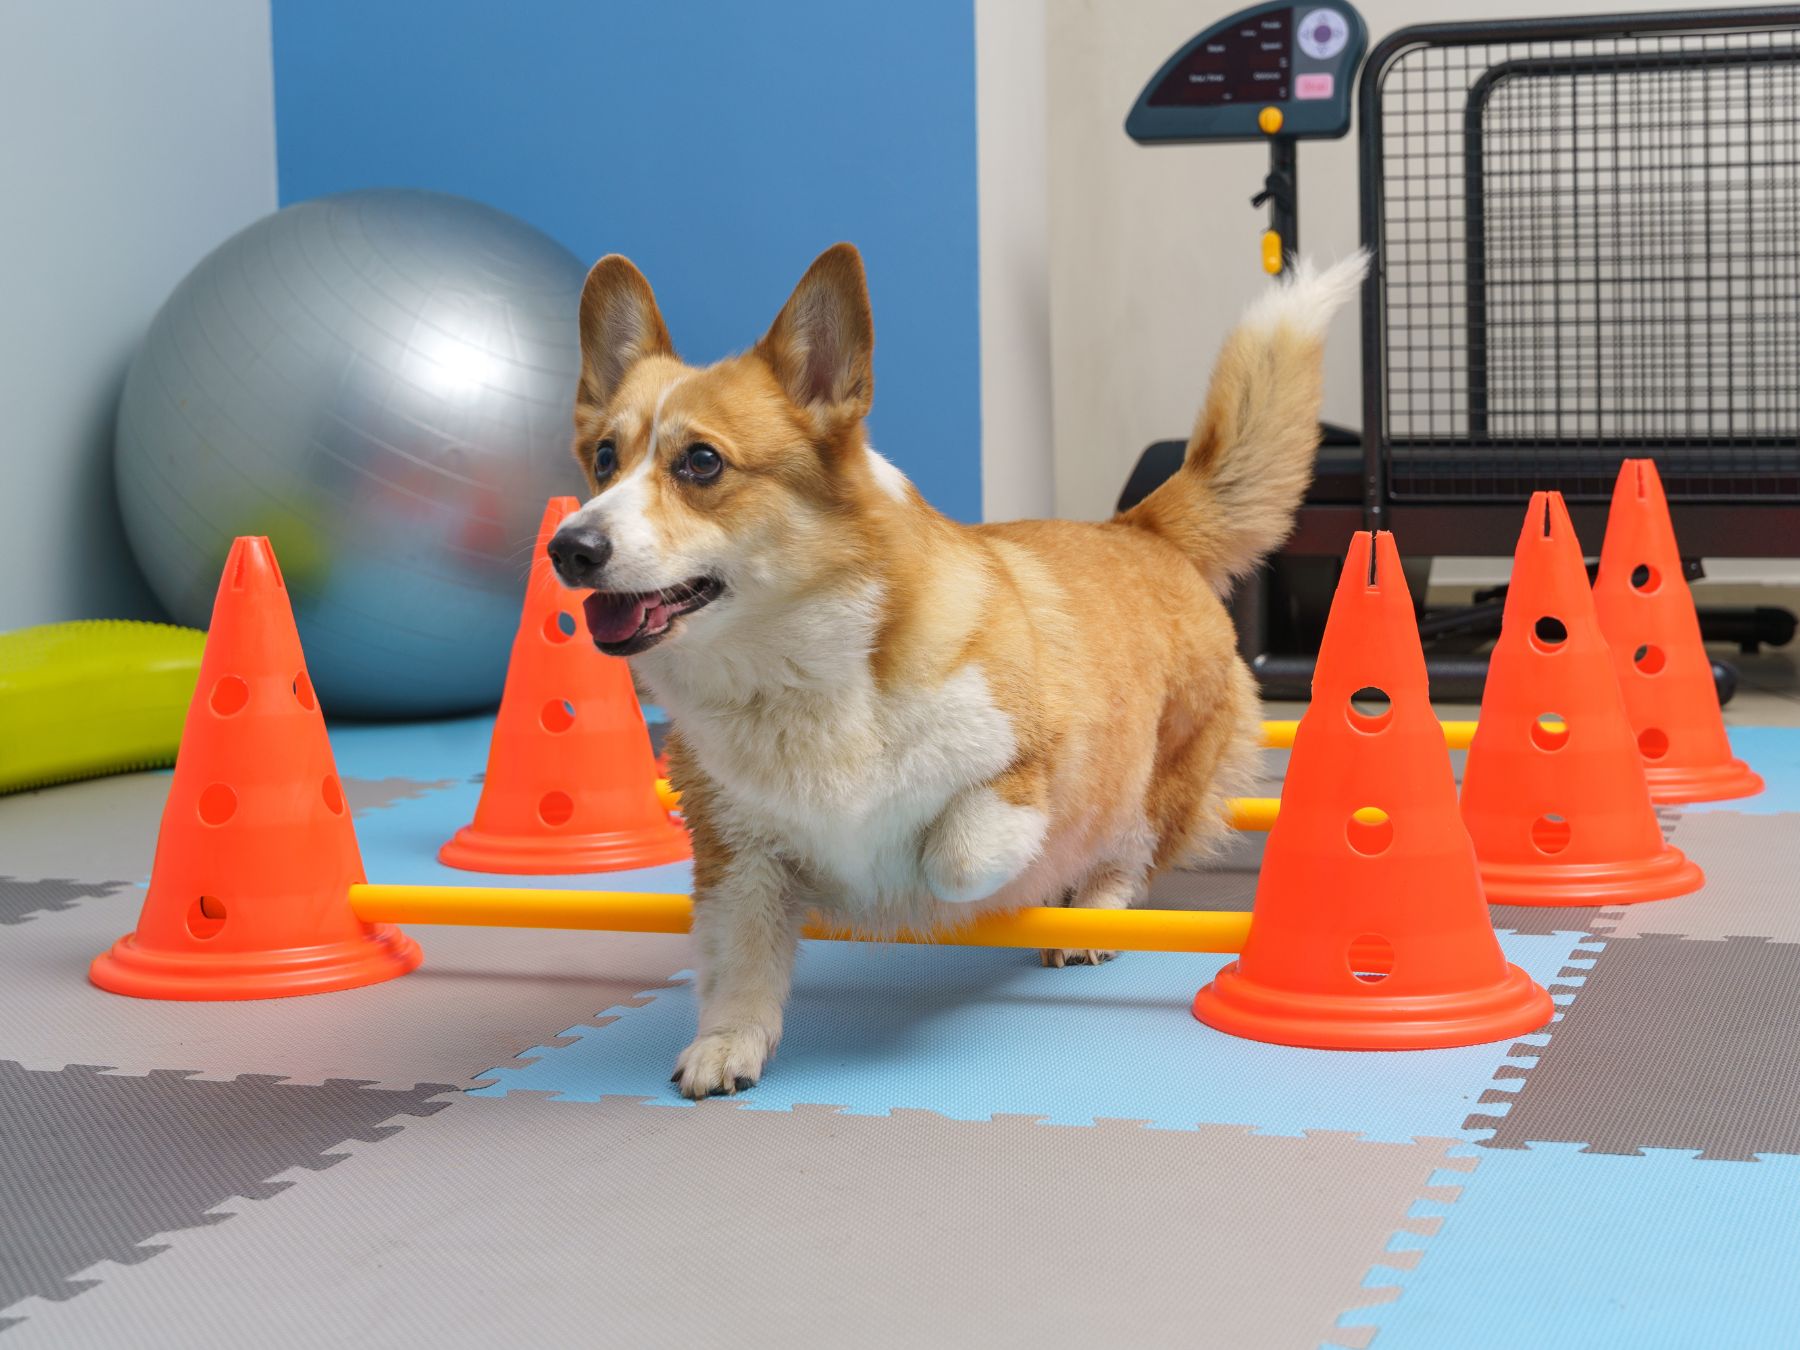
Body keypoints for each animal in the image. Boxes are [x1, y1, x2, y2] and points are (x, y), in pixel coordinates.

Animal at [547, 243, 1360, 1101]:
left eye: (702, 462)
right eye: (604, 460)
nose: (569, 548)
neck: (795, 672)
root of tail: (1141, 527)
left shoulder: (1023, 766)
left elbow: (956, 860)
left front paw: (927, 882)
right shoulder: (739, 858)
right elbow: (740, 966)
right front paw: (726, 1046)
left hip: (1155, 783)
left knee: (1127, 855)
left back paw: (1085, 911)